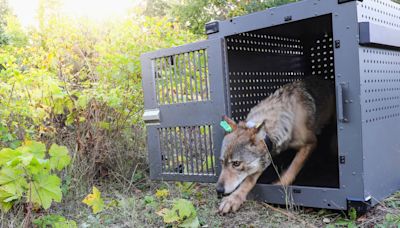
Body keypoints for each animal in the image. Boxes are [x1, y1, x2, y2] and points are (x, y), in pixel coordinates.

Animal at [216, 78, 334, 214]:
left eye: (236, 163)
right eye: (222, 162)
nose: (218, 190)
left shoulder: (311, 143)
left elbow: (294, 165)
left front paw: (280, 183)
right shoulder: (265, 157)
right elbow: (249, 179)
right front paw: (234, 198)